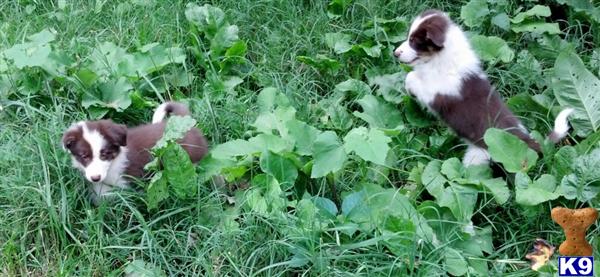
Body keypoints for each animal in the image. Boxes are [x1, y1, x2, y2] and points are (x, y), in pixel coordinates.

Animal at [394, 10, 572, 166]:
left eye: (414, 41)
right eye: (408, 37)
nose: (395, 53)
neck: (439, 59)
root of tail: (528, 141)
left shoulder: (440, 92)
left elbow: (412, 77)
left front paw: (410, 88)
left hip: (478, 156)